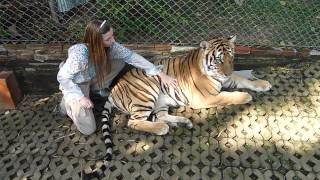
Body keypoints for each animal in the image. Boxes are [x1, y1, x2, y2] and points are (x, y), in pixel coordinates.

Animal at [82, 35, 270, 179]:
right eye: (218, 59)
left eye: (231, 57)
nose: (227, 72)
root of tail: (113, 90)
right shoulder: (204, 97)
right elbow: (227, 96)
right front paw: (245, 96)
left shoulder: (227, 80)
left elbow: (242, 79)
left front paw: (263, 84)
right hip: (147, 91)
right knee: (134, 122)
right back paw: (162, 128)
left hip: (160, 102)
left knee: (159, 116)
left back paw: (181, 122)